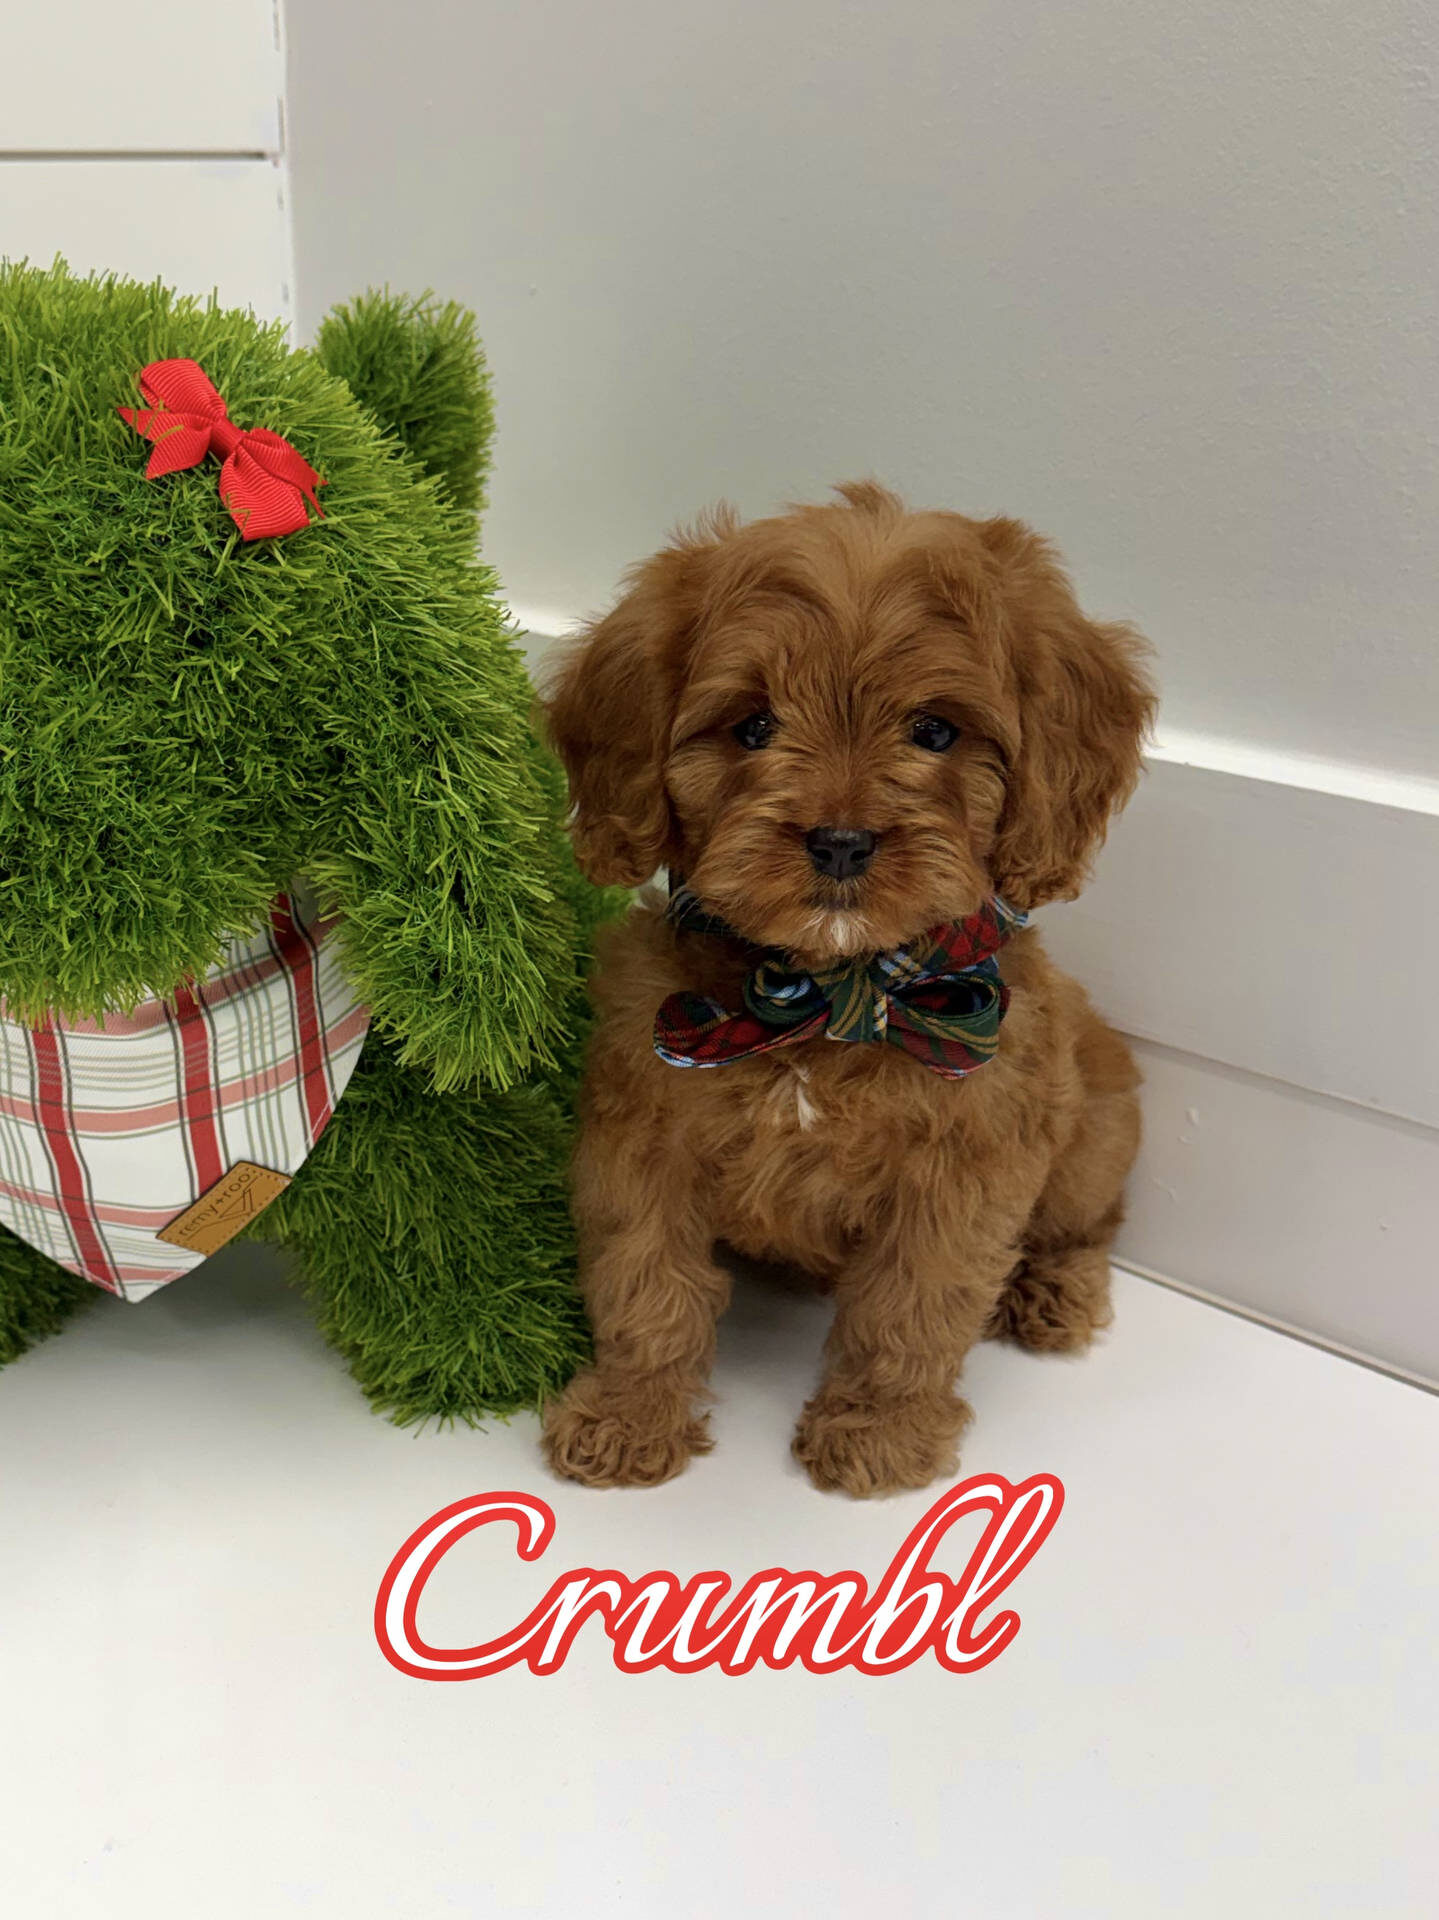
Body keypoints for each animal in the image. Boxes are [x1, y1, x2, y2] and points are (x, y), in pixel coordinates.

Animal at [541, 483, 1155, 1496]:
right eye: (754, 725)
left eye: (933, 730)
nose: (838, 842)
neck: (827, 991)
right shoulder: (640, 1135)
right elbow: (646, 1280)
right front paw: (629, 1416)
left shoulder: (963, 1171)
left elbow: (911, 1307)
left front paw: (878, 1434)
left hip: (1093, 1134)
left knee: (1087, 1221)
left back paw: (1052, 1290)